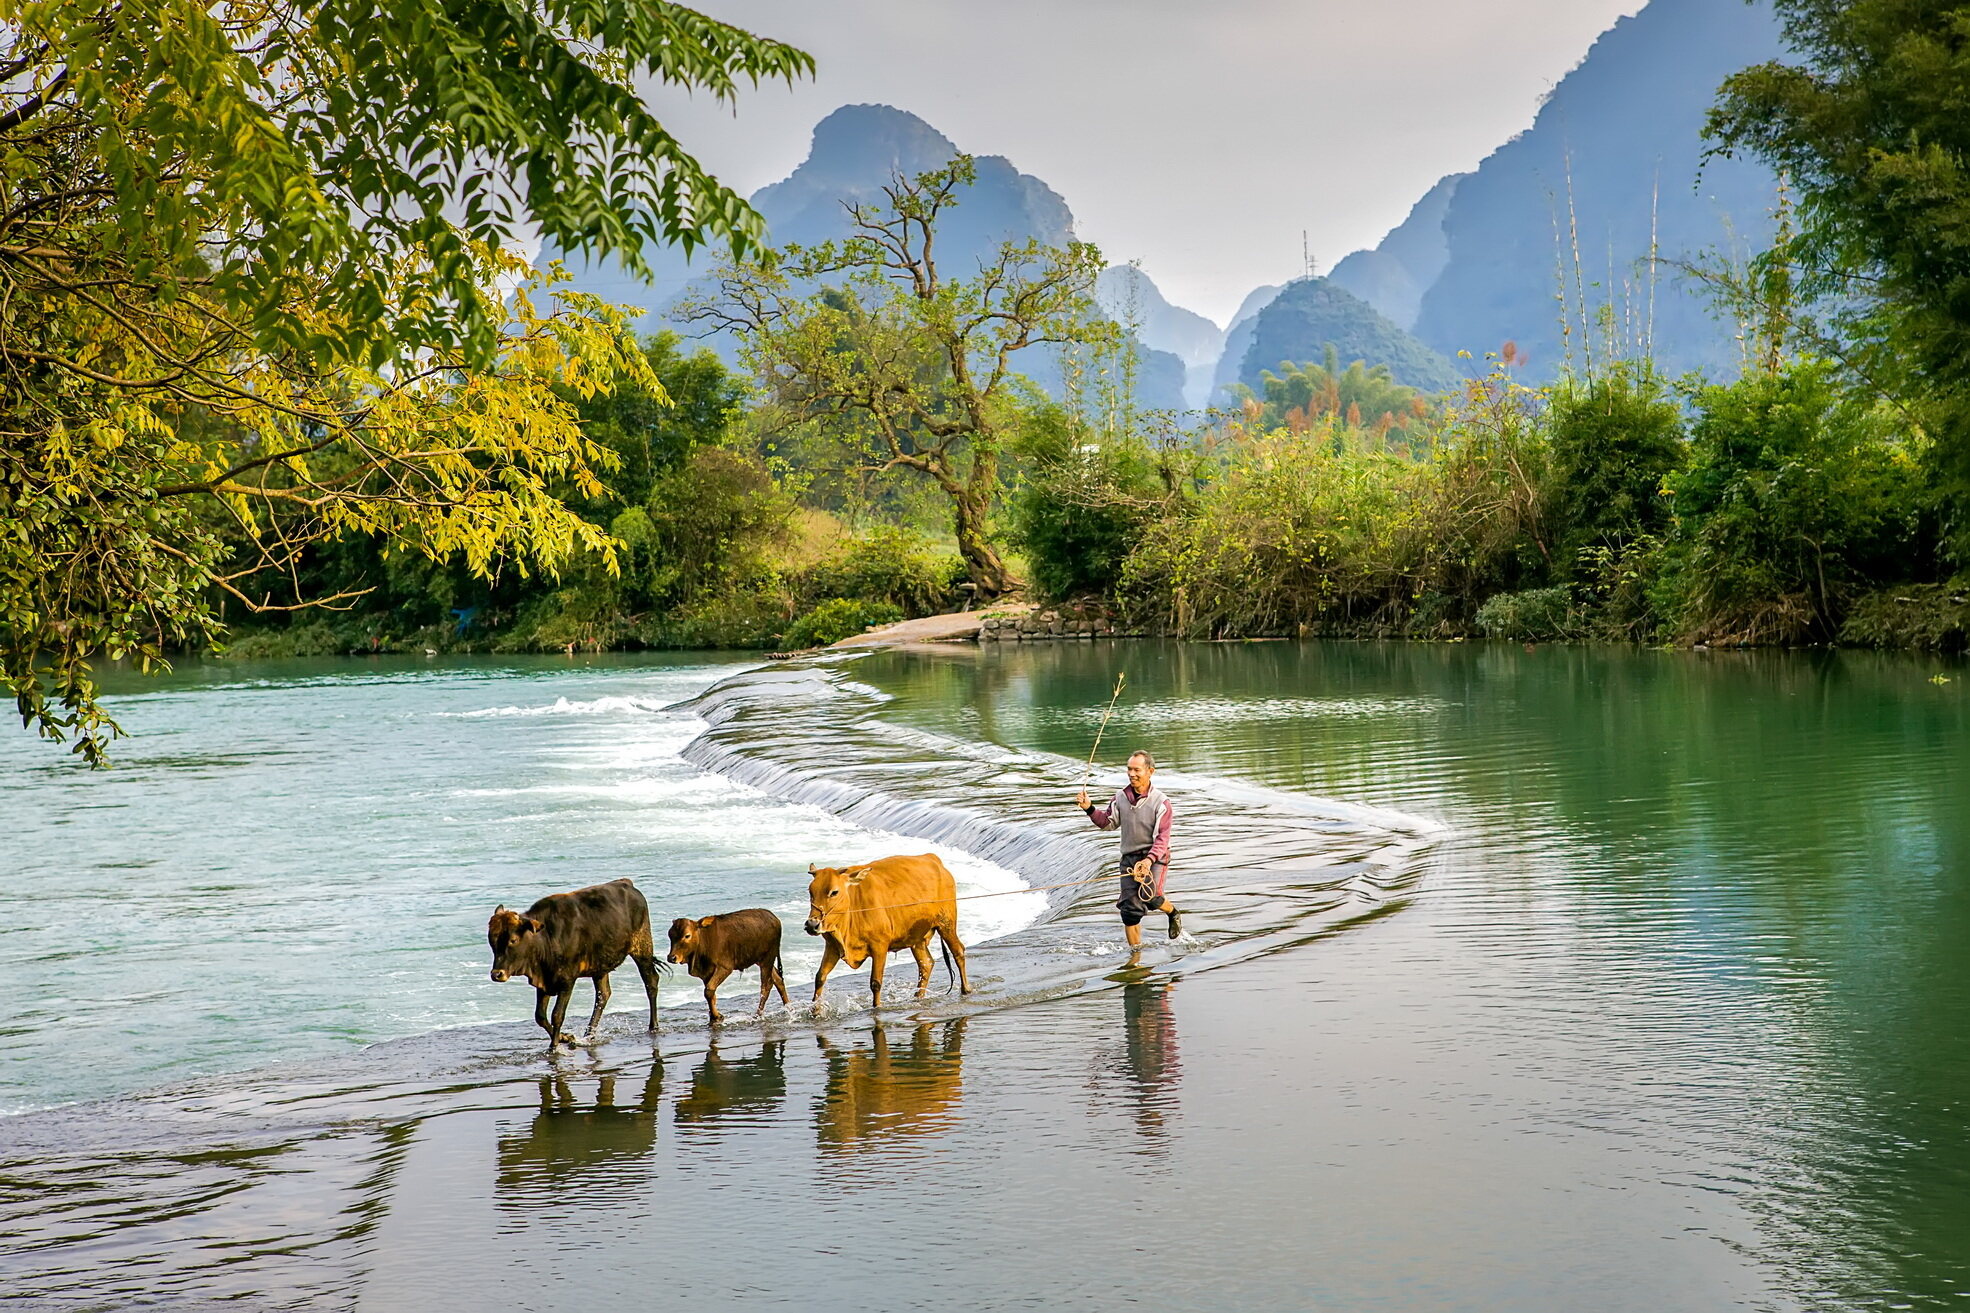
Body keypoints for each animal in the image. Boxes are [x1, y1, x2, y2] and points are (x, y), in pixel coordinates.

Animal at [484, 875, 661, 1048]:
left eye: (513, 940)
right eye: (491, 940)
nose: (497, 974)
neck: (546, 937)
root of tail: (627, 884)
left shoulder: (567, 980)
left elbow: (557, 1015)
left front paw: (554, 1047)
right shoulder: (545, 980)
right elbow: (540, 1016)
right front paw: (565, 1037)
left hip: (642, 948)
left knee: (651, 982)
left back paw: (653, 1026)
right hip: (600, 966)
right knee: (603, 995)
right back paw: (589, 1035)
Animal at [803, 847, 973, 1001]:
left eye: (834, 892)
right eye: (811, 891)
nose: (812, 924)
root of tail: (933, 859)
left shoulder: (880, 946)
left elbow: (876, 983)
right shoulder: (832, 945)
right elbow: (820, 977)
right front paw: (815, 1010)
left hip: (946, 923)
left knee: (958, 951)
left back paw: (966, 989)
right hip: (917, 937)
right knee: (926, 964)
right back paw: (918, 996)